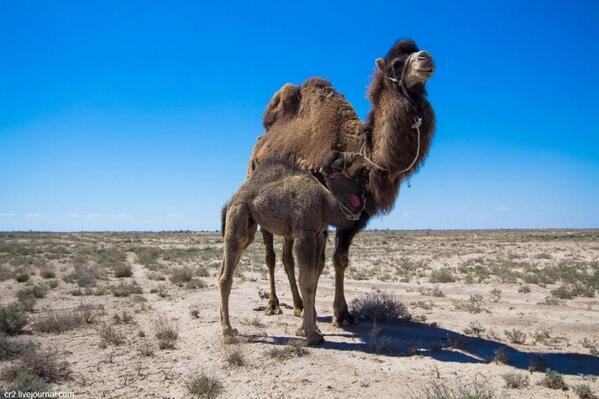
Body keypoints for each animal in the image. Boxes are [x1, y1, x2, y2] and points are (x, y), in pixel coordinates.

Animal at [219, 158, 366, 346]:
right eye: (341, 174)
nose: (361, 195)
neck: (323, 198)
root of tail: (229, 201)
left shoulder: (318, 234)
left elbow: (313, 280)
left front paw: (305, 329)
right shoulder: (305, 234)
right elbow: (307, 282)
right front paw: (312, 335)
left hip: (248, 224)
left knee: (224, 267)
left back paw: (225, 325)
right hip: (239, 213)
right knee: (226, 276)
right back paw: (228, 331)